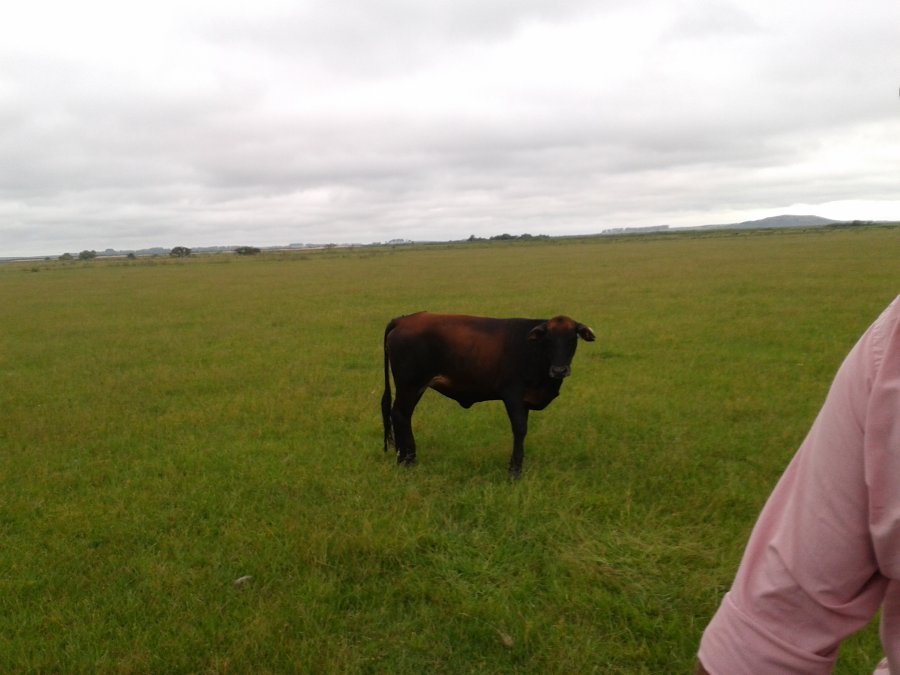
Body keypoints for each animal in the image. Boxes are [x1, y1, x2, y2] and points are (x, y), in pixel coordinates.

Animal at [381, 312, 596, 478]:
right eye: (548, 340)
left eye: (572, 339)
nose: (559, 370)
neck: (533, 352)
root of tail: (403, 320)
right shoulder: (513, 396)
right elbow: (520, 430)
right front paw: (515, 471)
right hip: (410, 386)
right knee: (399, 415)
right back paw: (406, 460)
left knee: (402, 416)